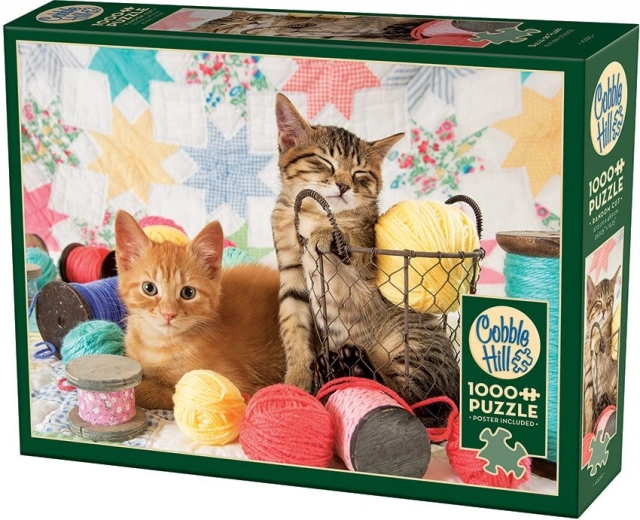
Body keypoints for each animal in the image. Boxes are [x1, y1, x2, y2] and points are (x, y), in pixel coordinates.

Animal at [114, 210, 286, 410]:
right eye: (149, 288)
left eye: (188, 292)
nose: (168, 314)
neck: (157, 343)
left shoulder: (227, 382)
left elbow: (172, 393)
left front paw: (139, 389)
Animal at [271, 93, 460, 423]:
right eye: (324, 161)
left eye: (360, 174)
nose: (344, 185)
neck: (312, 213)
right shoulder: (291, 267)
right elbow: (293, 326)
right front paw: (296, 380)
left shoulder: (371, 254)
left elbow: (353, 242)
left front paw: (329, 234)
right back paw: (338, 369)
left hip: (415, 343)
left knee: (415, 400)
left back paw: (359, 370)